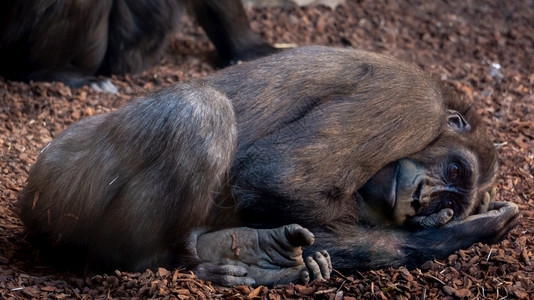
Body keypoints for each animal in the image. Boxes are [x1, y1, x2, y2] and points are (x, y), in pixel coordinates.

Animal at [17, 46, 524, 286]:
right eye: (456, 171)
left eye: (454, 199)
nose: (427, 200)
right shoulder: (413, 103)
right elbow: (284, 176)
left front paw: (456, 229)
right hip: (60, 184)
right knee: (199, 110)